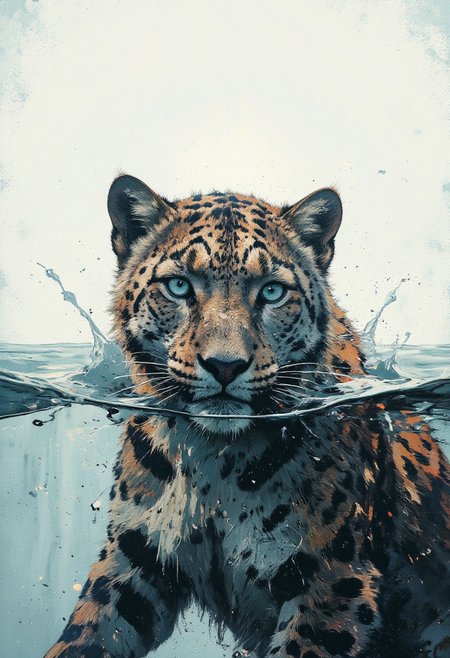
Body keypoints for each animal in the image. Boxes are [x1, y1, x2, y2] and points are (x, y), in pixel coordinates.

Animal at [45, 174, 450, 658]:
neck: (212, 464)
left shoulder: (332, 581)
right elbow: (86, 634)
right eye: (178, 286)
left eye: (272, 292)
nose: (224, 365)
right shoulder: (136, 560)